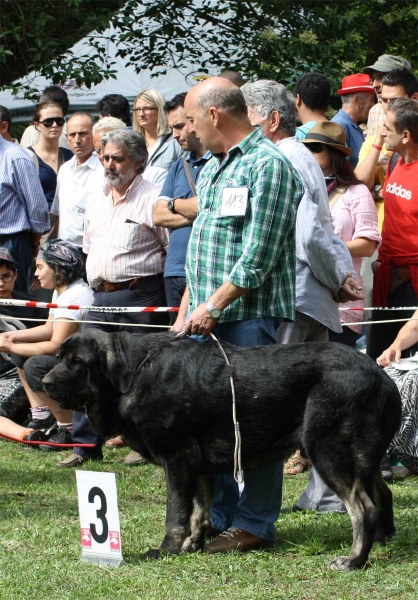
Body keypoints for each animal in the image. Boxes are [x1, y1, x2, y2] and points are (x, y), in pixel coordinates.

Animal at [43, 330, 402, 568]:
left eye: (77, 362)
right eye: (59, 358)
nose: (45, 383)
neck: (134, 373)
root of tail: (380, 375)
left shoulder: (178, 459)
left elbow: (176, 513)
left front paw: (167, 549)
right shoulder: (198, 466)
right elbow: (199, 512)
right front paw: (192, 544)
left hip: (327, 450)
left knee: (363, 508)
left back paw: (354, 559)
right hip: (364, 459)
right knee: (382, 495)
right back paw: (383, 541)